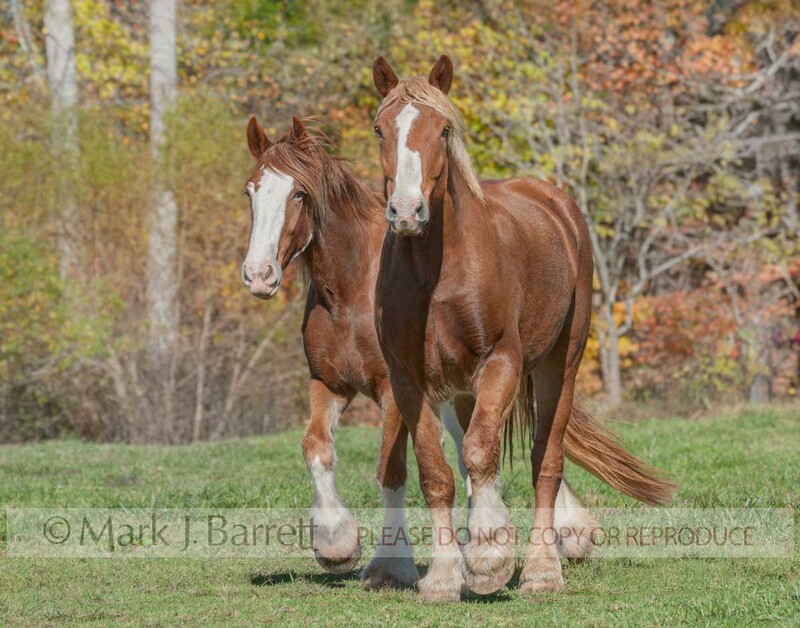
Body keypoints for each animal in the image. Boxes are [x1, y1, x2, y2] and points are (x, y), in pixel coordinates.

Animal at [240, 115, 475, 594]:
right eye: (250, 191)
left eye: (298, 193)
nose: (258, 275)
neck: (351, 294)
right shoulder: (329, 385)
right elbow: (316, 447)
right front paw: (336, 544)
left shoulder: (391, 391)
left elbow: (391, 470)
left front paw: (390, 565)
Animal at [370, 55, 676, 600]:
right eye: (380, 128)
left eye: (443, 129)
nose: (406, 211)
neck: (436, 274)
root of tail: (556, 202)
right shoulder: (408, 379)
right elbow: (438, 472)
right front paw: (445, 576)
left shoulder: (502, 362)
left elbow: (481, 454)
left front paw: (489, 559)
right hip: (464, 389)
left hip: (560, 366)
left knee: (544, 463)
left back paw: (541, 570)